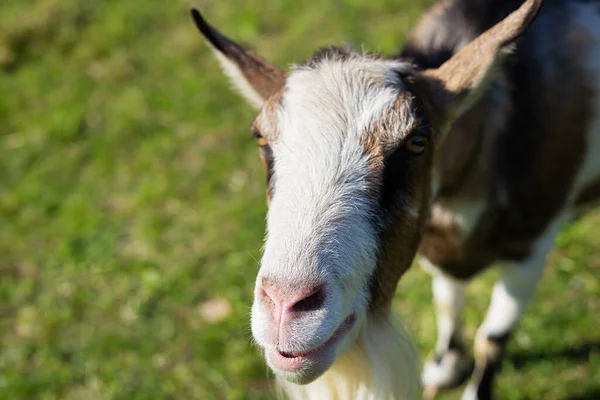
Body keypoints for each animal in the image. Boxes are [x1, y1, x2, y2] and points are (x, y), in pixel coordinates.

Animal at [190, 0, 596, 398]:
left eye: (416, 142)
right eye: (261, 139)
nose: (285, 307)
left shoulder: (532, 249)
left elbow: (491, 338)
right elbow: (447, 302)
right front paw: (446, 365)